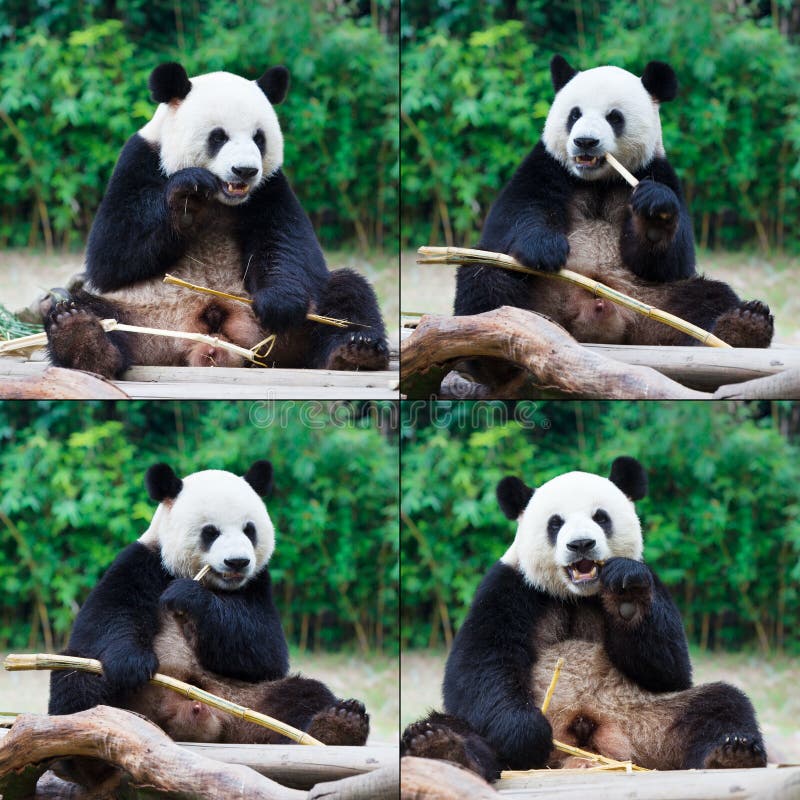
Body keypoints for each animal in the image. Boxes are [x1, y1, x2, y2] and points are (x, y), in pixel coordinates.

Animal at [45, 63, 390, 378]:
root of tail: (210, 347)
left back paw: (355, 351)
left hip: (292, 332)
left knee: (346, 294)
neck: (221, 202)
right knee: (89, 308)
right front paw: (187, 195)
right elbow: (111, 253)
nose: (245, 171)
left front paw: (278, 304)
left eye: (259, 138)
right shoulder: (139, 159)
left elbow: (287, 242)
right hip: (140, 314)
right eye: (218, 137)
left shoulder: (270, 187)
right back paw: (82, 338)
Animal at [51, 462, 370, 752]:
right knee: (78, 679)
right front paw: (132, 664)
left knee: (303, 695)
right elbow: (105, 618)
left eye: (249, 530)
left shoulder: (258, 584)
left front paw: (188, 597)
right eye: (211, 532)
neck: (215, 584)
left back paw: (340, 724)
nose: (238, 562)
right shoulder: (142, 562)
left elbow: (265, 651)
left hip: (249, 701)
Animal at [404, 460, 764, 780]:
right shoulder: (509, 588)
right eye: (555, 523)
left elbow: (670, 669)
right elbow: (478, 665)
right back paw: (439, 746)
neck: (576, 594)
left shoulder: (653, 583)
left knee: (720, 705)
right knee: (459, 725)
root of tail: (583, 752)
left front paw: (626, 596)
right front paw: (527, 733)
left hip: (648, 718)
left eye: (601, 517)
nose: (581, 544)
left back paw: (732, 753)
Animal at [456, 56, 776, 384]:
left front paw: (654, 214)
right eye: (574, 114)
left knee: (706, 298)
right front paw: (546, 249)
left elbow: (671, 262)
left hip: (653, 304)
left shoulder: (655, 171)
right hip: (537, 300)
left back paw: (744, 326)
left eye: (614, 117)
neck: (598, 180)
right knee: (488, 279)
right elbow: (516, 213)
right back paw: (492, 356)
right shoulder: (546, 165)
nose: (585, 142)